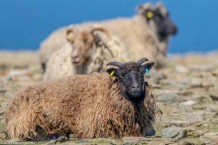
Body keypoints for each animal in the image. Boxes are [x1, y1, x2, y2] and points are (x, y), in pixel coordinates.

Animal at [4, 57, 156, 140]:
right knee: (29, 133)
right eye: (122, 75)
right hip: (30, 118)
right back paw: (58, 136)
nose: (136, 87)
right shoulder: (92, 125)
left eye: (142, 74)